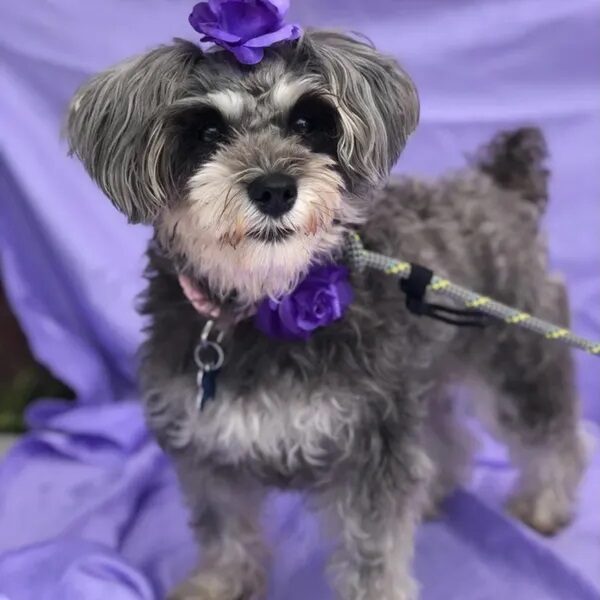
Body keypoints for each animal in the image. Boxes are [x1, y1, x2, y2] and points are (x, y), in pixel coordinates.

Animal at [67, 31, 584, 600]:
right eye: (206, 131)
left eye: (307, 121)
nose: (274, 189)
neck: (267, 302)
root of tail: (499, 186)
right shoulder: (206, 450)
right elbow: (223, 530)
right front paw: (217, 584)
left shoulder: (370, 453)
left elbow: (373, 554)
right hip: (422, 378)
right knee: (449, 439)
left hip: (519, 360)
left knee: (553, 435)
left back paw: (545, 504)